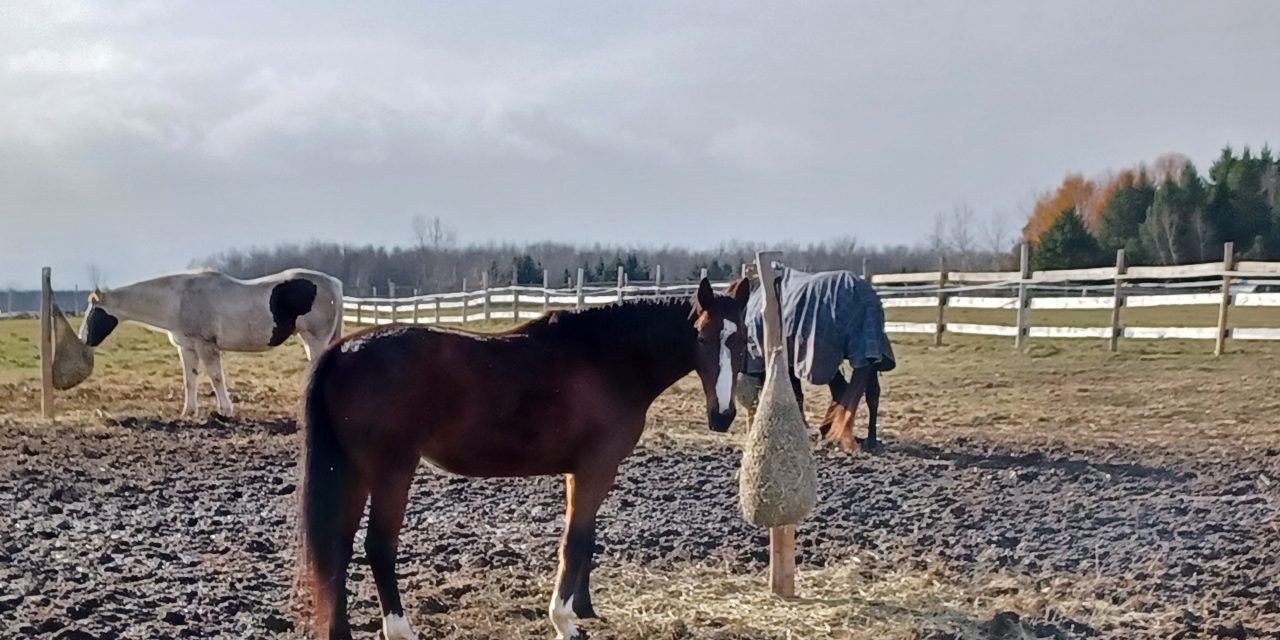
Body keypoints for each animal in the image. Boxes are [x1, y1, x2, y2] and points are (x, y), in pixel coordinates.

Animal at [80, 268, 343, 416]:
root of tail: (333, 282)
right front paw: (189, 412)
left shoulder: (206, 345)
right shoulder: (186, 348)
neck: (180, 301)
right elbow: (190, 380)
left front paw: (225, 410)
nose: (84, 339)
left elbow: (216, 377)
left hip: (315, 339)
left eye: (93, 313)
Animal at [298, 278, 751, 640]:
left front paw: (583, 610)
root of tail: (343, 350)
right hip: (391, 471)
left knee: (338, 549)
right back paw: (401, 631)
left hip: (354, 472)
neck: (606, 359)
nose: (722, 415)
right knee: (378, 547)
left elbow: (584, 539)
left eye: (743, 338)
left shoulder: (578, 472)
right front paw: (565, 621)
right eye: (702, 337)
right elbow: (575, 540)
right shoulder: (596, 469)